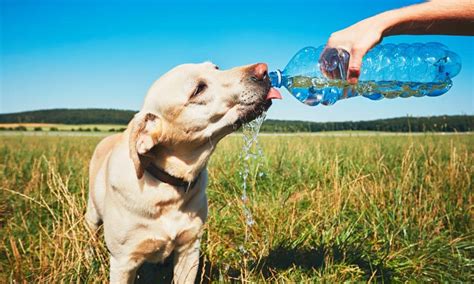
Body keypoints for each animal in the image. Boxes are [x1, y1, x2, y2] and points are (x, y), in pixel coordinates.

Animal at [85, 61, 282, 282]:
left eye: (216, 67)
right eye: (198, 89)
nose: (263, 70)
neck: (168, 187)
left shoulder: (189, 249)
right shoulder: (123, 262)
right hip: (92, 214)